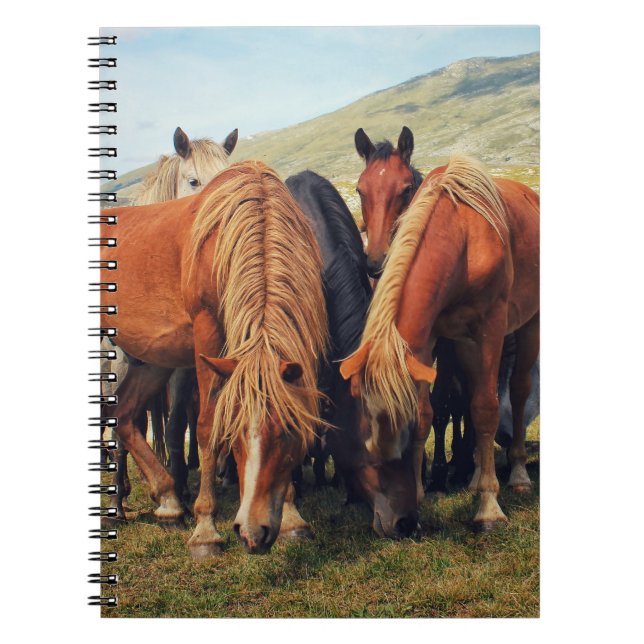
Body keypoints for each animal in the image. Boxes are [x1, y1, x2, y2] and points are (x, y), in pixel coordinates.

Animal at [101, 160, 328, 556]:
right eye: (234, 435)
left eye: (288, 432)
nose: (253, 532)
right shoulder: (207, 334)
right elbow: (207, 425)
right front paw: (205, 530)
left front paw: (291, 517)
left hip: (153, 358)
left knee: (124, 415)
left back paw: (168, 501)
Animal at [341, 154, 540, 531]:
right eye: (364, 447)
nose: (398, 523)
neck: (462, 235)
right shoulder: (429, 342)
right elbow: (429, 411)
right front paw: (422, 491)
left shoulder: (491, 328)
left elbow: (486, 409)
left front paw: (489, 507)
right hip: (464, 345)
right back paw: (474, 475)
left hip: (526, 325)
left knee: (518, 392)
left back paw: (517, 473)